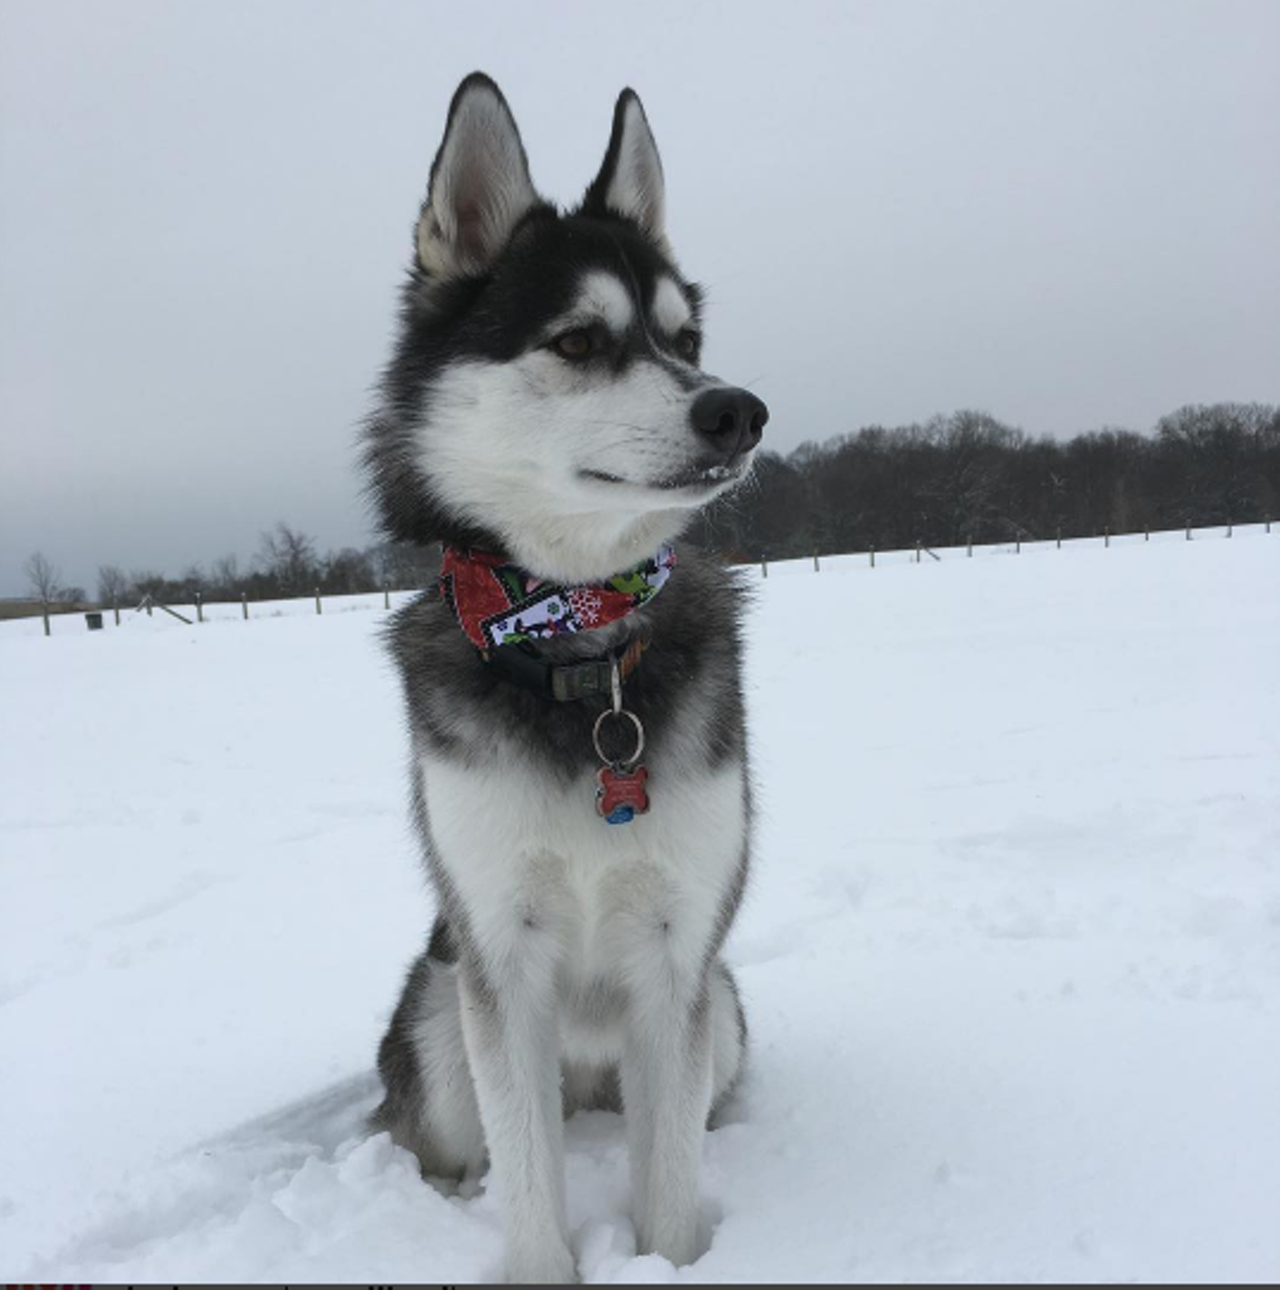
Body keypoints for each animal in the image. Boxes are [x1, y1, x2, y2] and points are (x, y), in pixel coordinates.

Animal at [366, 73, 769, 1279]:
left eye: (686, 339)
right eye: (582, 339)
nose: (737, 409)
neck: (579, 644)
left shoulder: (681, 960)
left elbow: (670, 1192)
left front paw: (671, 1260)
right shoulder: (500, 956)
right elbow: (531, 1181)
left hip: (725, 1010)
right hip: (437, 1017)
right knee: (457, 1135)